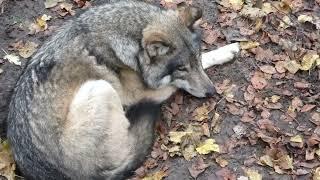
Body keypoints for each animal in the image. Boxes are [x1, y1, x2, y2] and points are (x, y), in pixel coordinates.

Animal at [6, 0, 239, 179]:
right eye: (181, 68)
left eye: (195, 59)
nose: (211, 92)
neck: (131, 42)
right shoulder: (140, 91)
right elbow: (172, 84)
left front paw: (226, 50)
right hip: (100, 87)